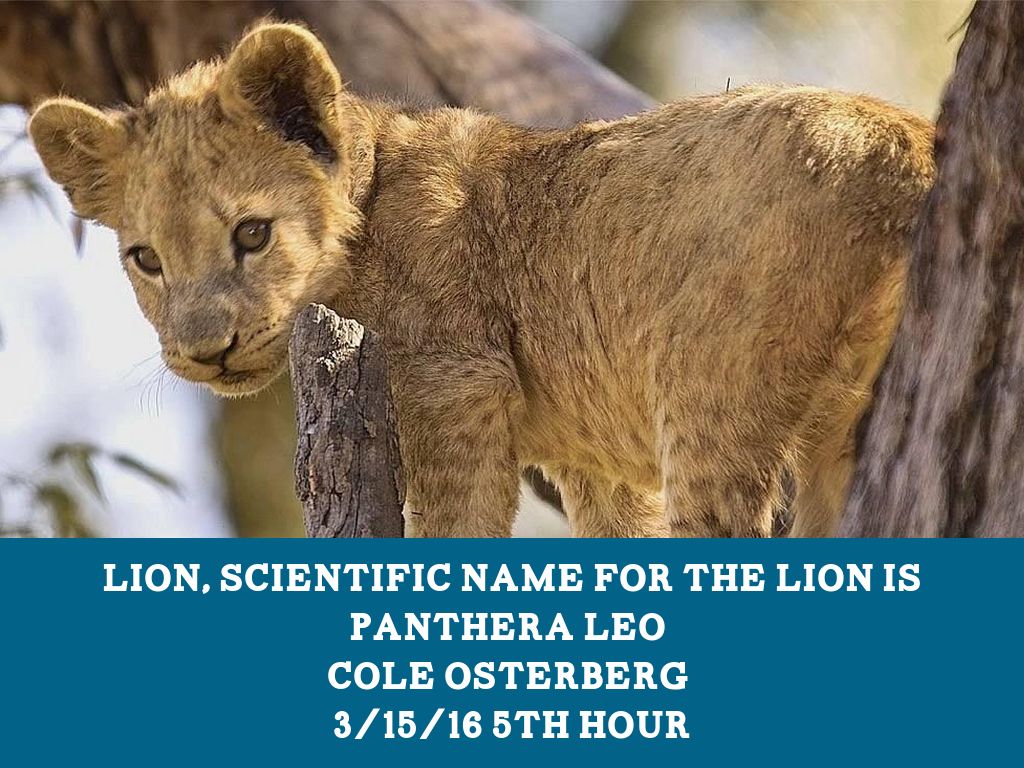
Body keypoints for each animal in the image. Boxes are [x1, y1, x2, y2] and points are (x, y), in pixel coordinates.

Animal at [28, 23, 935, 537]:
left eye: (252, 234)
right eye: (145, 258)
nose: (205, 351)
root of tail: (918, 146)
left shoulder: (456, 390)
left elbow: (453, 535)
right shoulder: (593, 461)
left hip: (715, 394)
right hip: (839, 439)